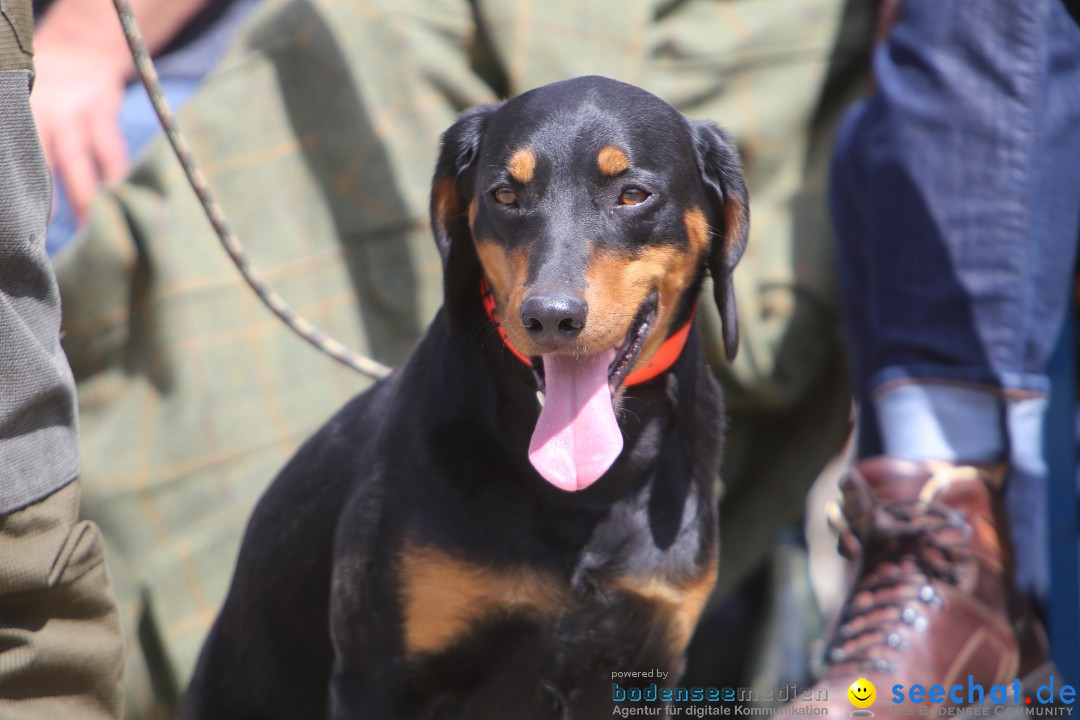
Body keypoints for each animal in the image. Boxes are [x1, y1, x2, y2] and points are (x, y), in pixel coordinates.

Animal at [179, 76, 751, 716]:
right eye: (504, 194)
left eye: (632, 194)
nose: (550, 317)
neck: (582, 497)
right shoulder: (377, 675)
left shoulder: (643, 657)